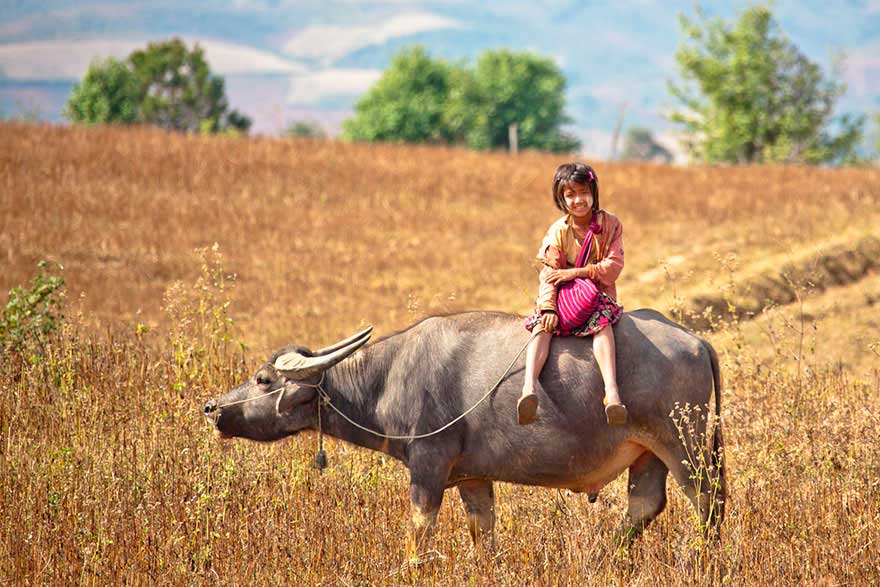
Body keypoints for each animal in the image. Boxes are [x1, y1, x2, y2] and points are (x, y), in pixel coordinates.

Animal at [205, 310, 720, 552]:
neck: (391, 376)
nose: (211, 407)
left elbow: (419, 533)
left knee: (707, 504)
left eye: (264, 379)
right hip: (646, 453)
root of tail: (695, 340)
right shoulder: (474, 478)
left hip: (686, 447)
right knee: (645, 506)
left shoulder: (428, 466)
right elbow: (482, 535)